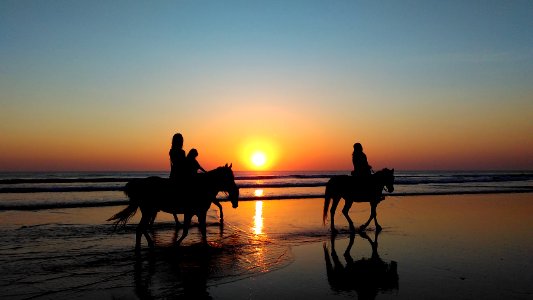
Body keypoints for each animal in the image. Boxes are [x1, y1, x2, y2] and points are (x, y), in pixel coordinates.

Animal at [108, 163, 239, 250]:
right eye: (229, 178)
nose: (235, 194)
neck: (202, 186)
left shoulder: (196, 213)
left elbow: (199, 230)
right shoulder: (194, 212)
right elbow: (190, 231)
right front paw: (177, 244)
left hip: (150, 211)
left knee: (142, 228)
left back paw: (149, 245)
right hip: (149, 211)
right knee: (141, 229)